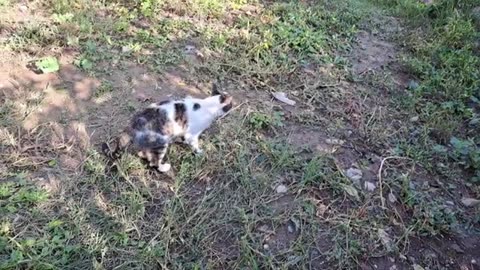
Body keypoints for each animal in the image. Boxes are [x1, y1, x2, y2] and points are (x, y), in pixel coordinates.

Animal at [102, 83, 233, 172]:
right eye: (231, 103)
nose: (233, 105)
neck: (207, 105)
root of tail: (132, 125)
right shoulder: (192, 134)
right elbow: (194, 144)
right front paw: (199, 152)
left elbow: (183, 137)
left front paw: (181, 141)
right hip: (160, 143)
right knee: (154, 162)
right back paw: (164, 167)